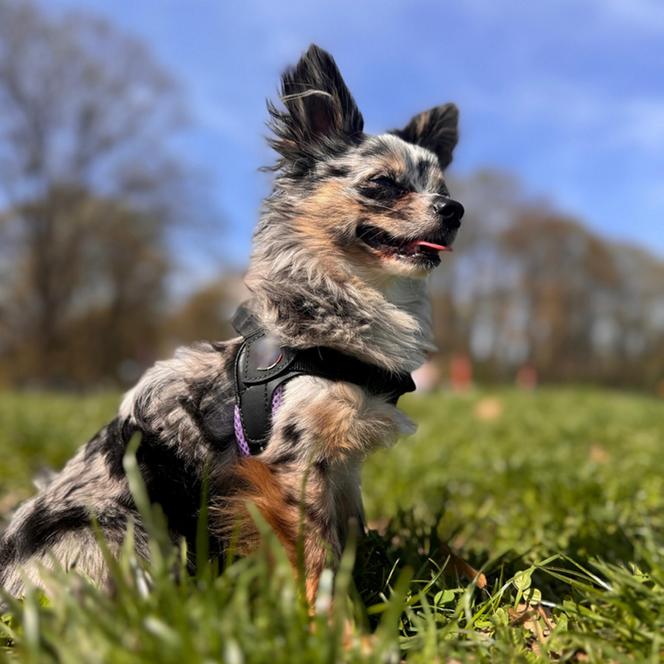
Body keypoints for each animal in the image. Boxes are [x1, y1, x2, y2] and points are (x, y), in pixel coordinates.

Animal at [0, 44, 464, 604]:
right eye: (383, 185)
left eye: (442, 188)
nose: (455, 210)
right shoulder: (295, 465)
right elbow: (317, 555)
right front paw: (332, 618)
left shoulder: (341, 466)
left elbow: (351, 529)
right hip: (126, 532)